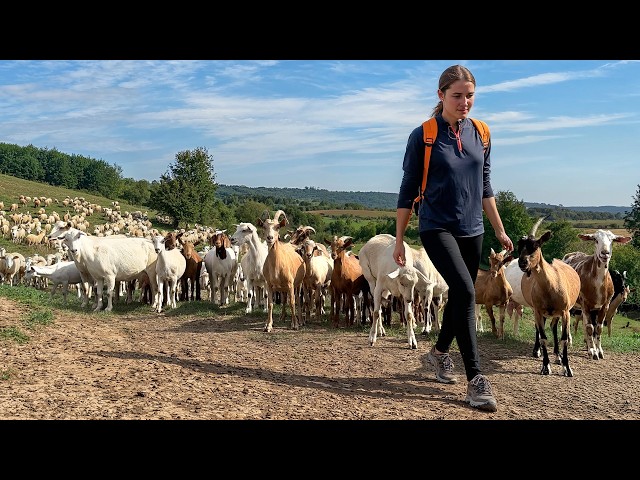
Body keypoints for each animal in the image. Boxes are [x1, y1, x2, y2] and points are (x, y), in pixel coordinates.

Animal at [516, 216, 580, 376]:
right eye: (519, 246)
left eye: (536, 245)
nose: (522, 262)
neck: (551, 285)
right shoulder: (538, 311)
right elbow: (543, 337)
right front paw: (545, 366)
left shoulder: (565, 312)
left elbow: (564, 339)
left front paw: (567, 368)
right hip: (540, 311)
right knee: (541, 328)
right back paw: (537, 351)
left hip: (557, 313)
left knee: (553, 326)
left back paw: (558, 355)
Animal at [564, 230, 632, 360]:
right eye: (595, 240)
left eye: (613, 240)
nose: (605, 253)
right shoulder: (585, 304)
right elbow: (590, 327)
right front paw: (592, 351)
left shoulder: (604, 306)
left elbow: (598, 328)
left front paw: (599, 350)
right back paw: (569, 340)